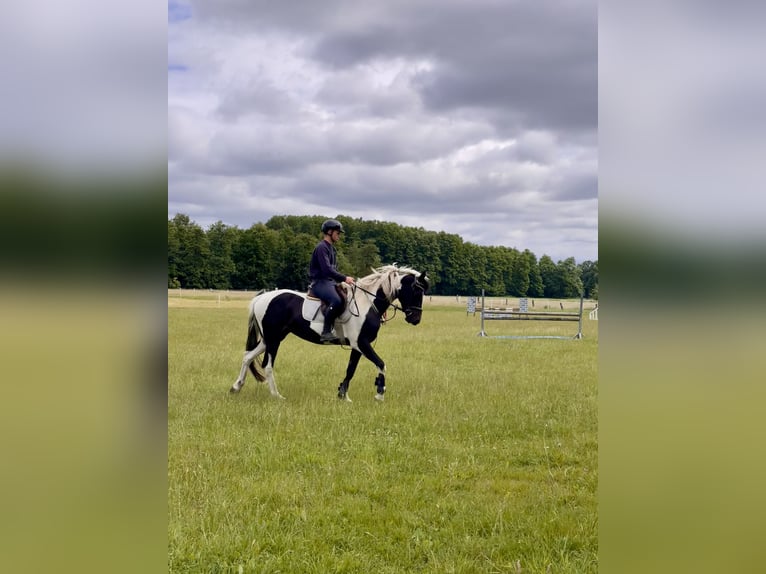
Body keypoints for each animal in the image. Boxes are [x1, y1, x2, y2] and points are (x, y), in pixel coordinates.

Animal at [230, 264, 430, 401]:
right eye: (415, 290)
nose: (415, 319)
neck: (367, 303)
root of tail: (262, 298)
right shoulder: (362, 343)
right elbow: (381, 364)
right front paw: (380, 393)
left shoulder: (357, 346)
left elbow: (350, 370)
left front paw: (343, 395)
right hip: (273, 340)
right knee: (268, 365)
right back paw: (276, 395)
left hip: (270, 339)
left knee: (248, 356)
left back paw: (236, 387)